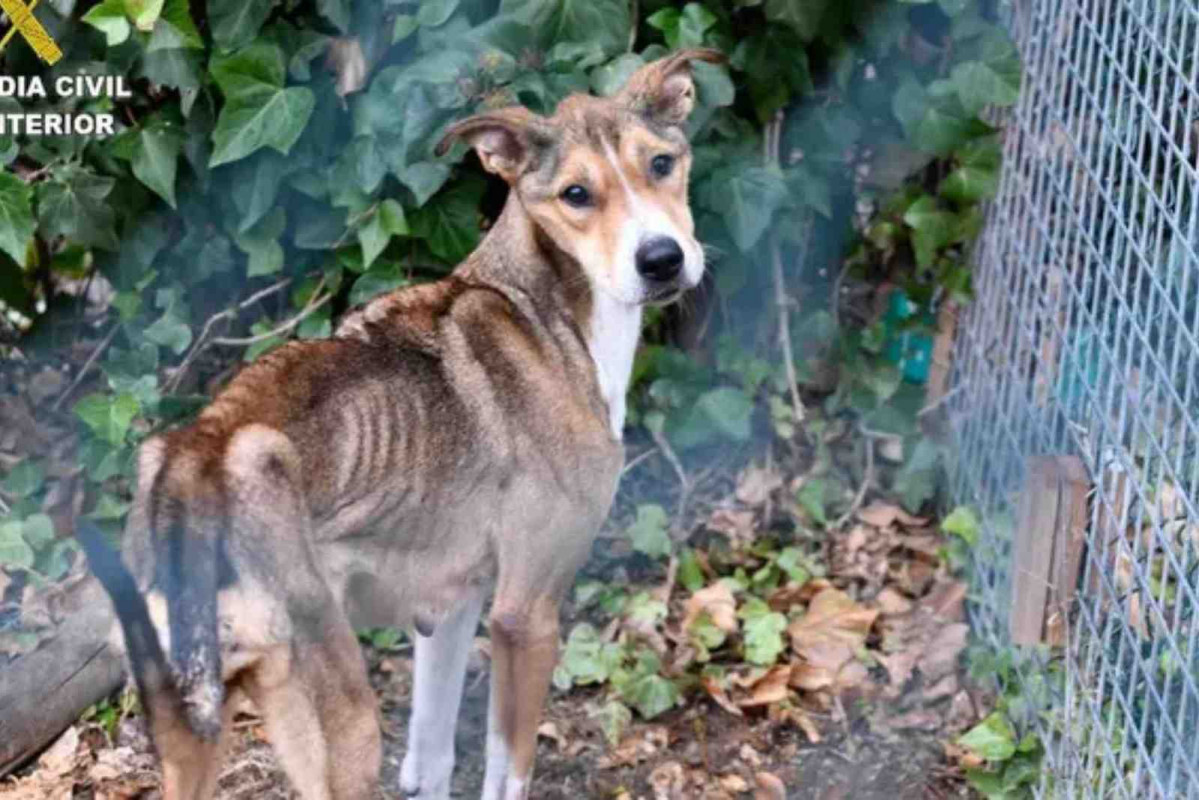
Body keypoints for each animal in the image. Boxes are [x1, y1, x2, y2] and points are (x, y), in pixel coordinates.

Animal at [82, 47, 719, 796]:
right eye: (575, 195)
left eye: (661, 163)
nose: (662, 260)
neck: (545, 306)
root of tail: (198, 463)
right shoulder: (525, 615)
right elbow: (507, 774)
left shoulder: (449, 606)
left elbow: (433, 753)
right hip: (345, 726)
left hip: (194, 736)